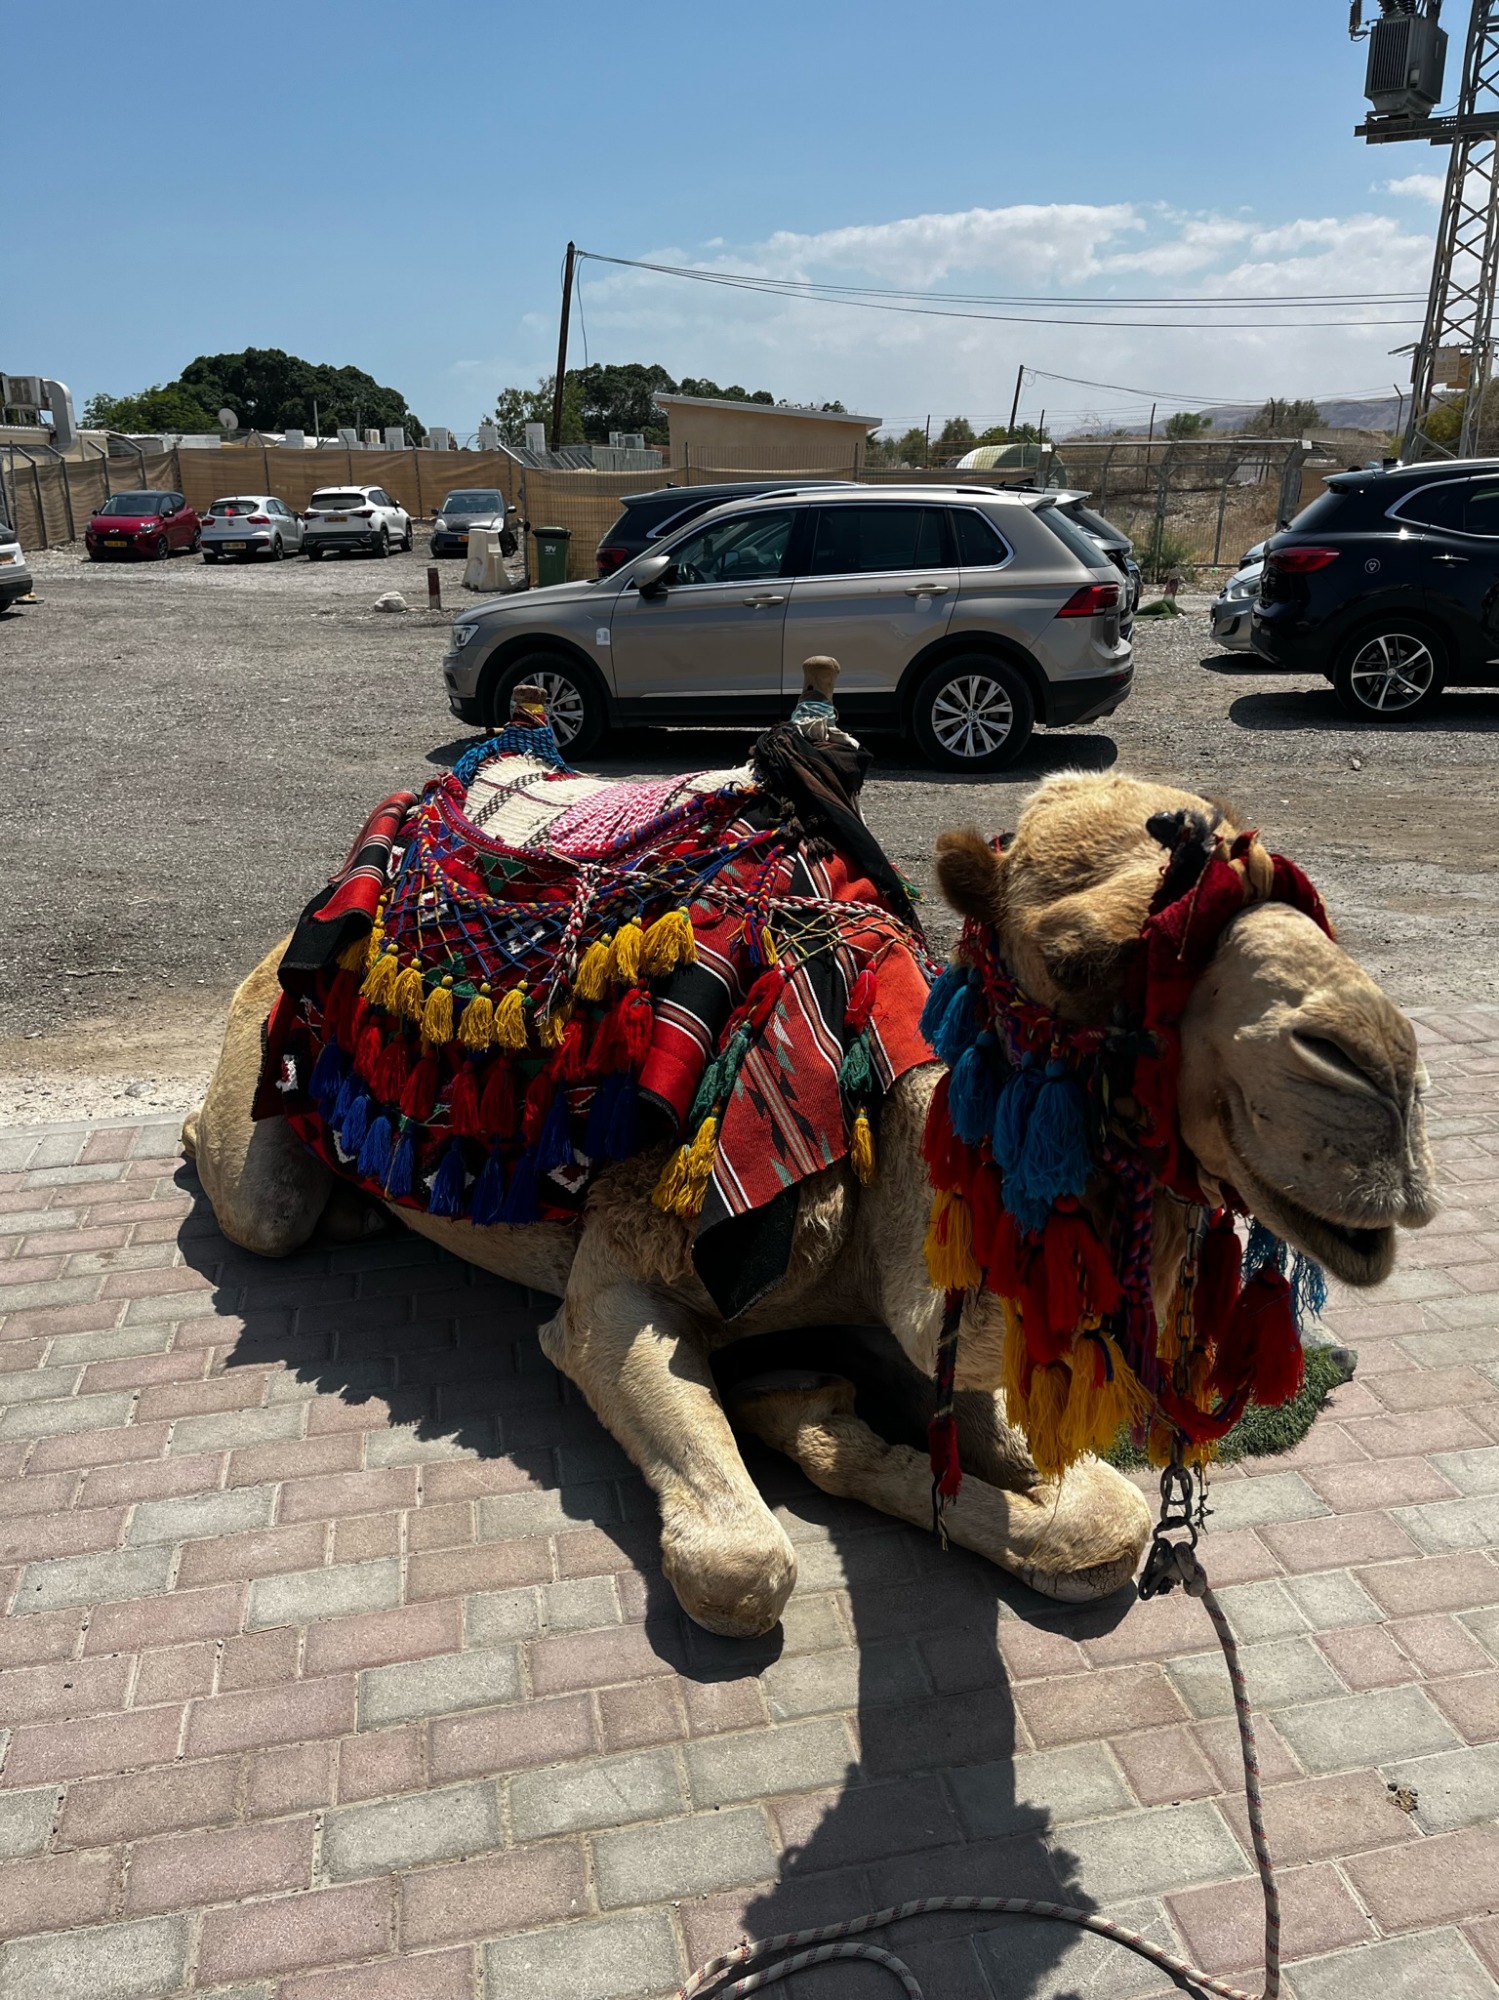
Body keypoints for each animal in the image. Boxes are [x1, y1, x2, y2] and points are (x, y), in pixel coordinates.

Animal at [184, 770, 1435, 1638]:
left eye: (1305, 901)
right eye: (1076, 954)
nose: (1376, 1077)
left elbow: (1105, 1518)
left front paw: (809, 1410)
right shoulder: (617, 1286)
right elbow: (742, 1565)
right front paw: (802, 1416)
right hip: (261, 1107)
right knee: (257, 1197)